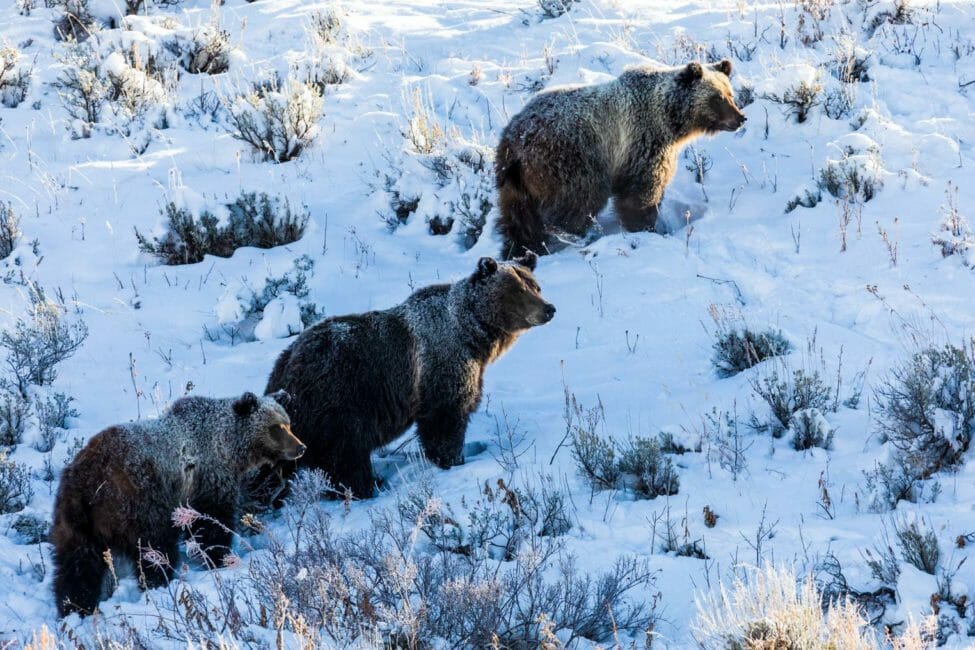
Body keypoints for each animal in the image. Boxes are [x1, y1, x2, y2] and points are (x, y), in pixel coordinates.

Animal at [51, 388, 304, 616]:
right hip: (137, 503)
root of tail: (87, 480)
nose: (300, 447)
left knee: (77, 564)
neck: (228, 447)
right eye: (276, 428)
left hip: (74, 518)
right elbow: (212, 524)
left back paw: (75, 606)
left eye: (289, 424)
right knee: (153, 548)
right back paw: (159, 582)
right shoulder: (208, 481)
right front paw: (220, 557)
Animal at [264, 252, 556, 496]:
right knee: (346, 453)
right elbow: (446, 418)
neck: (472, 335)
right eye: (518, 289)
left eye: (536, 286)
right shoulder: (442, 365)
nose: (549, 308)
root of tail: (287, 365)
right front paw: (451, 458)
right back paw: (367, 486)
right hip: (340, 398)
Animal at [496, 57, 748, 256]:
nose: (740, 118)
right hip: (569, 161)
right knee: (579, 200)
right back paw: (569, 235)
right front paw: (646, 226)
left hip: (515, 184)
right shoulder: (642, 143)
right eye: (717, 98)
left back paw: (520, 249)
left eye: (730, 94)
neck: (670, 120)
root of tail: (514, 141)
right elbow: (640, 192)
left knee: (519, 219)